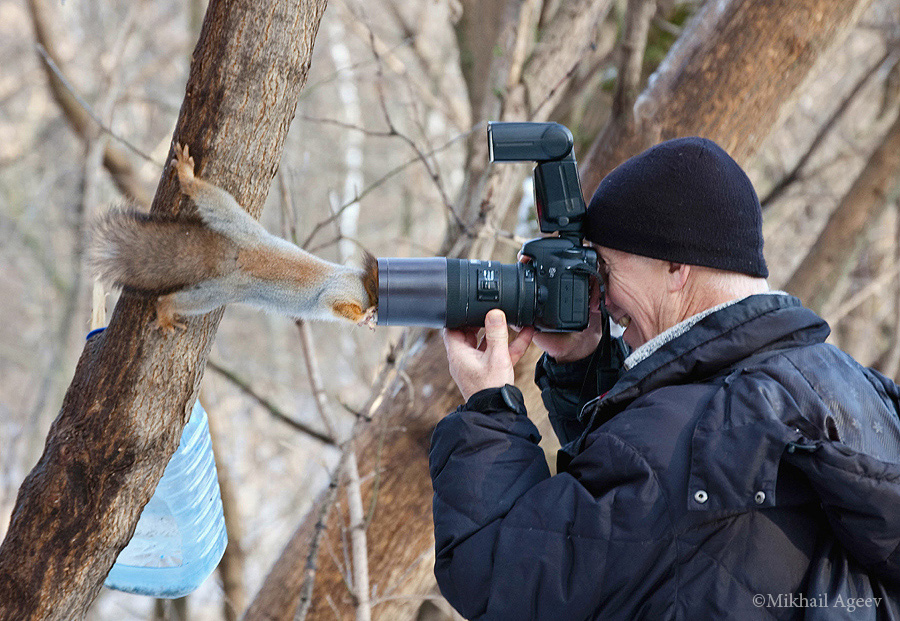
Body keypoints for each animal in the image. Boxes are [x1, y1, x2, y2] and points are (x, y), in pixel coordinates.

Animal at [94, 143, 380, 332]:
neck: (363, 282)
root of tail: (240, 253)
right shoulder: (344, 286)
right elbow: (332, 301)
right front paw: (363, 318)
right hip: (225, 287)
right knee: (174, 300)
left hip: (233, 224)